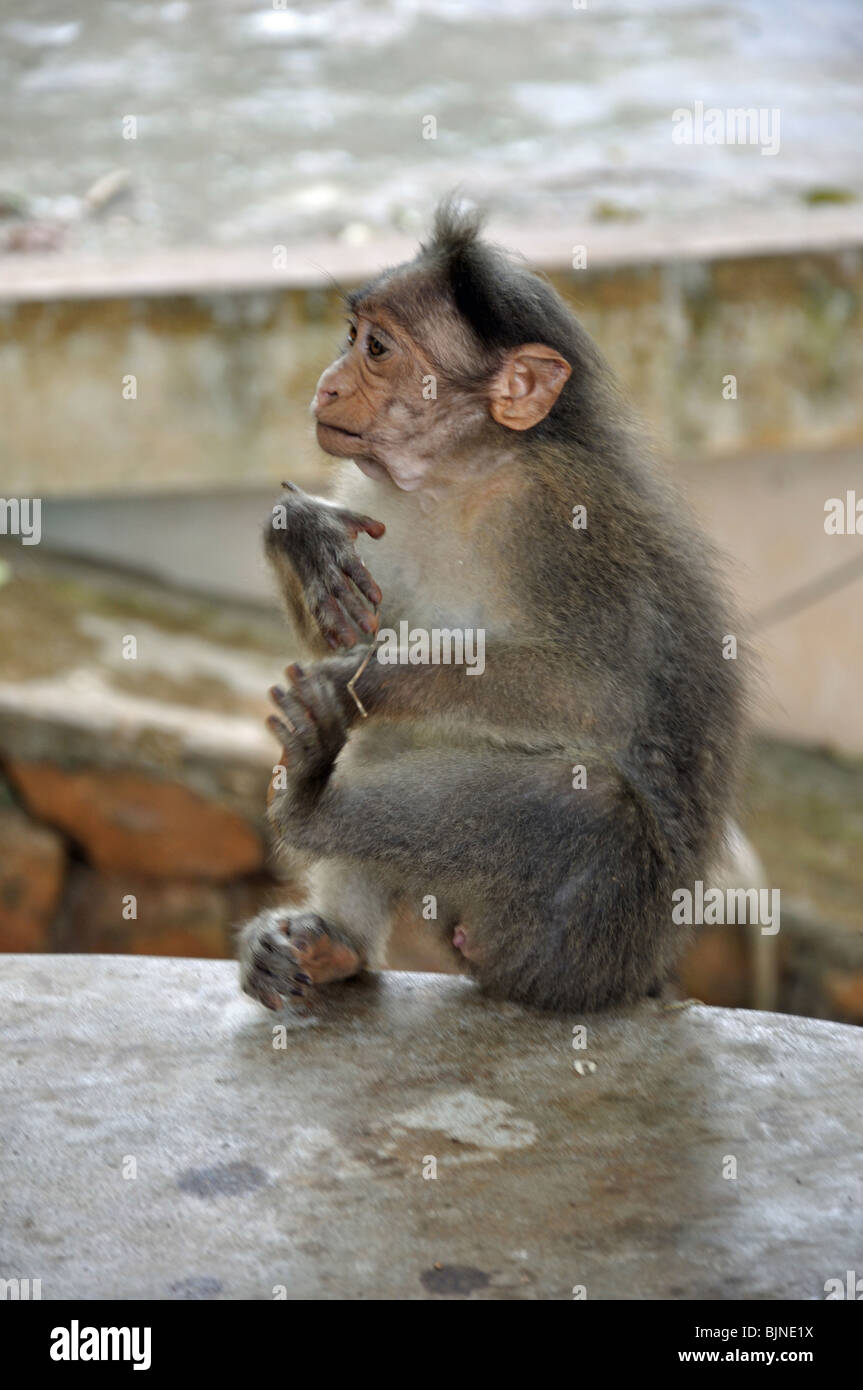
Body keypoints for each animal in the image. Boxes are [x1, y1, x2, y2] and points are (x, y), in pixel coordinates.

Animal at [237, 201, 744, 1017]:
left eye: (376, 349)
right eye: (352, 335)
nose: (327, 385)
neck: (464, 473)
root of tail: (640, 972)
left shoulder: (559, 518)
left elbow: (598, 694)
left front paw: (369, 676)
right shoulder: (380, 498)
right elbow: (347, 624)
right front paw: (304, 535)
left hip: (581, 937)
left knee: (587, 805)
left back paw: (311, 802)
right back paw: (335, 945)